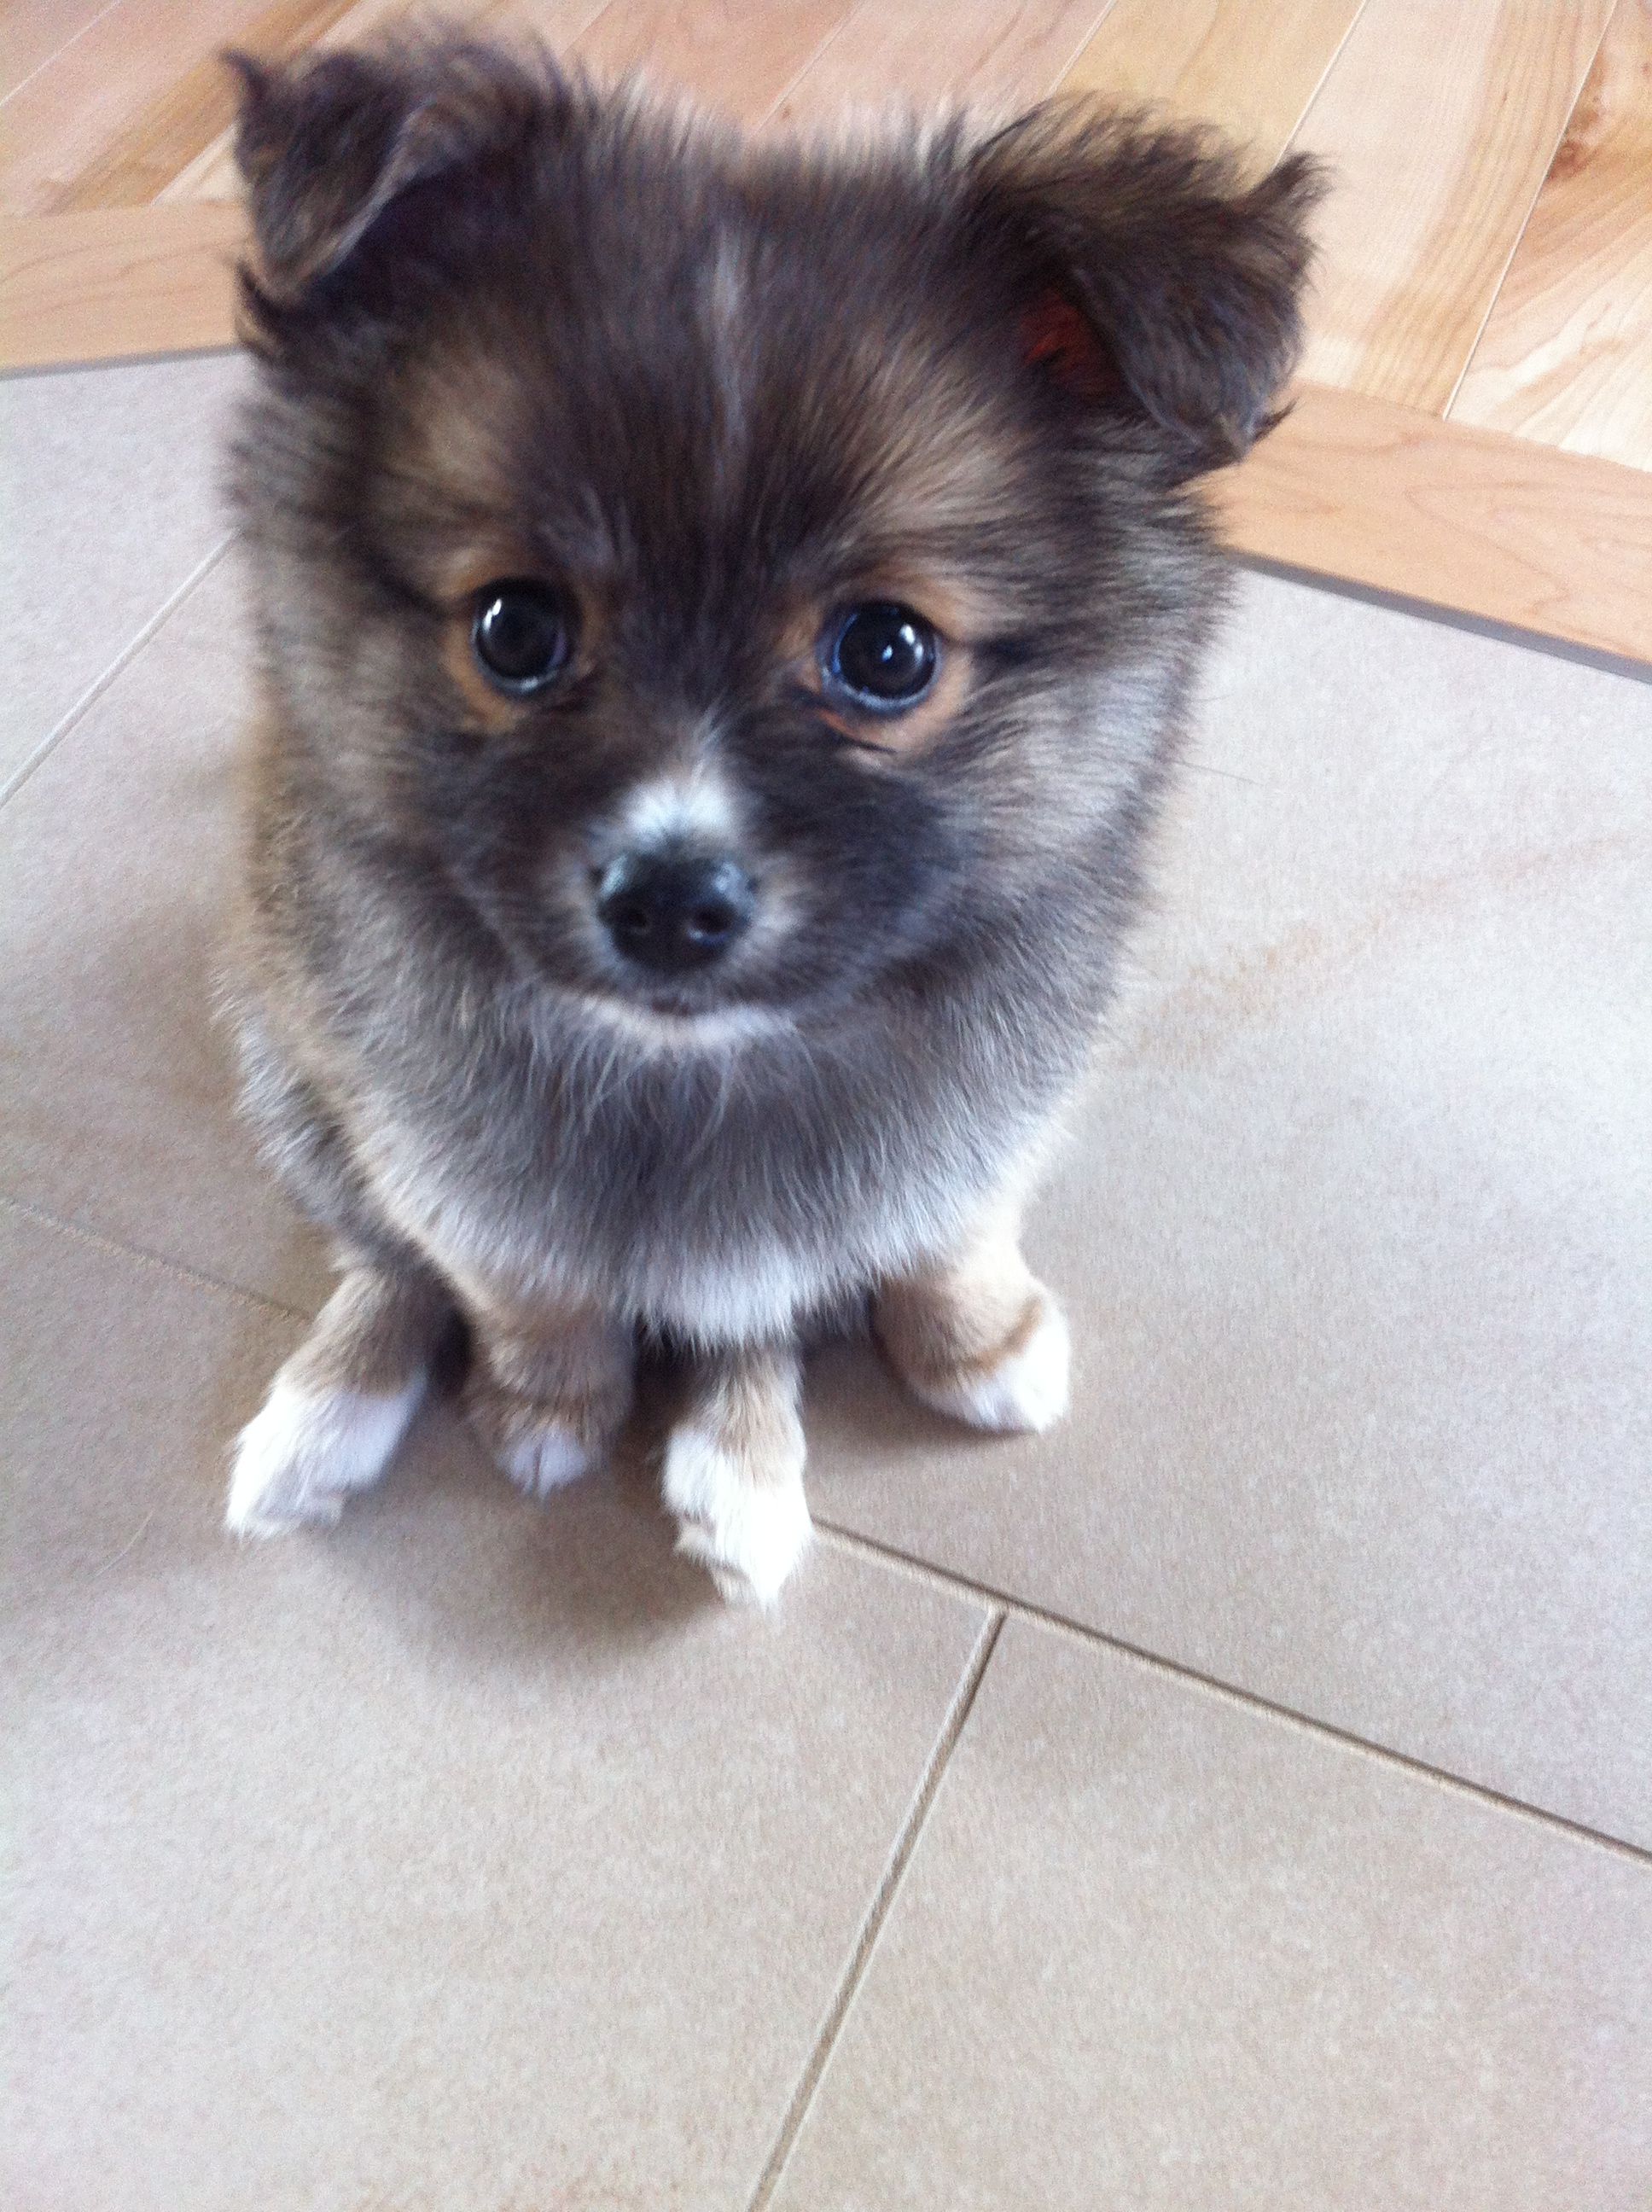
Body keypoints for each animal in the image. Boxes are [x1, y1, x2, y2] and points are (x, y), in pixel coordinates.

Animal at [226, 26, 1327, 1601]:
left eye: (887, 652)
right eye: (515, 630)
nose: (671, 900)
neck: (712, 1065)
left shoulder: (985, 1098)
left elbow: (944, 1226)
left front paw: (975, 1342)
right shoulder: (442, 1132)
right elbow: (518, 1277)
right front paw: (547, 1402)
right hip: (294, 1064)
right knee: (381, 1260)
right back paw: (327, 1418)